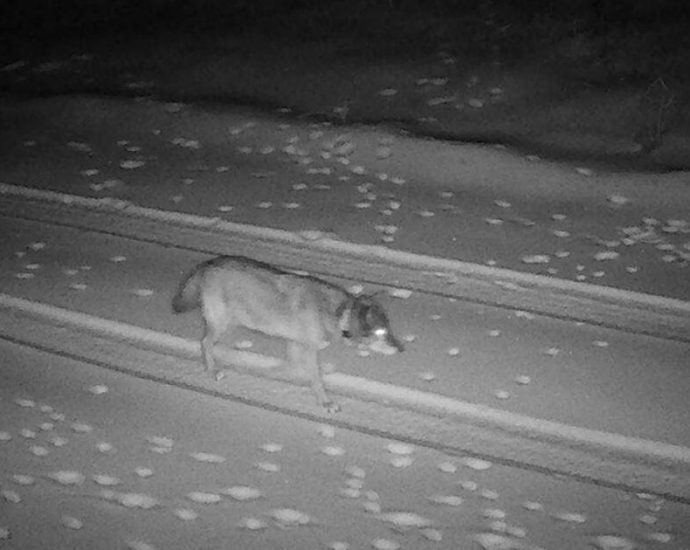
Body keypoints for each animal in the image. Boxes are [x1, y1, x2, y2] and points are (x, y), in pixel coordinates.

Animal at [172, 255, 404, 413]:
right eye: (381, 332)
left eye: (389, 329)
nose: (402, 350)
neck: (338, 315)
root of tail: (208, 263)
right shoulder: (308, 350)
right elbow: (316, 379)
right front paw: (326, 403)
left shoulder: (294, 344)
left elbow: (290, 367)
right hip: (220, 323)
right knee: (204, 343)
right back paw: (213, 371)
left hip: (231, 324)